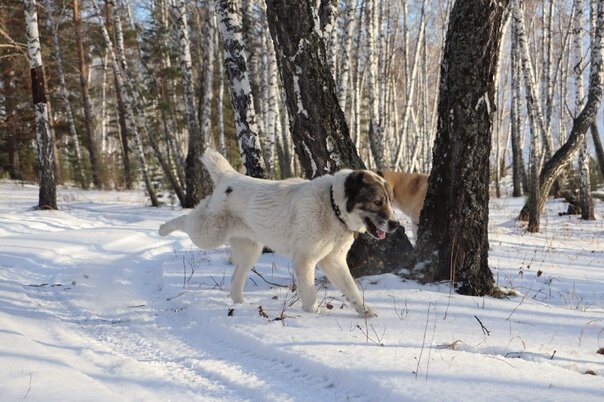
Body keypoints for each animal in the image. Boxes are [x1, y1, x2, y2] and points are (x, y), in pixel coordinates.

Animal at [158, 149, 398, 316]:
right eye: (377, 202)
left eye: (390, 201)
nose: (395, 224)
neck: (332, 206)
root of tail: (230, 176)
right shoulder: (304, 260)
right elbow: (310, 293)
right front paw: (312, 315)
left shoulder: (334, 261)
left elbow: (352, 289)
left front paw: (365, 312)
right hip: (210, 233)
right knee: (188, 220)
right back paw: (162, 228)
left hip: (250, 251)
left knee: (235, 280)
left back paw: (240, 306)